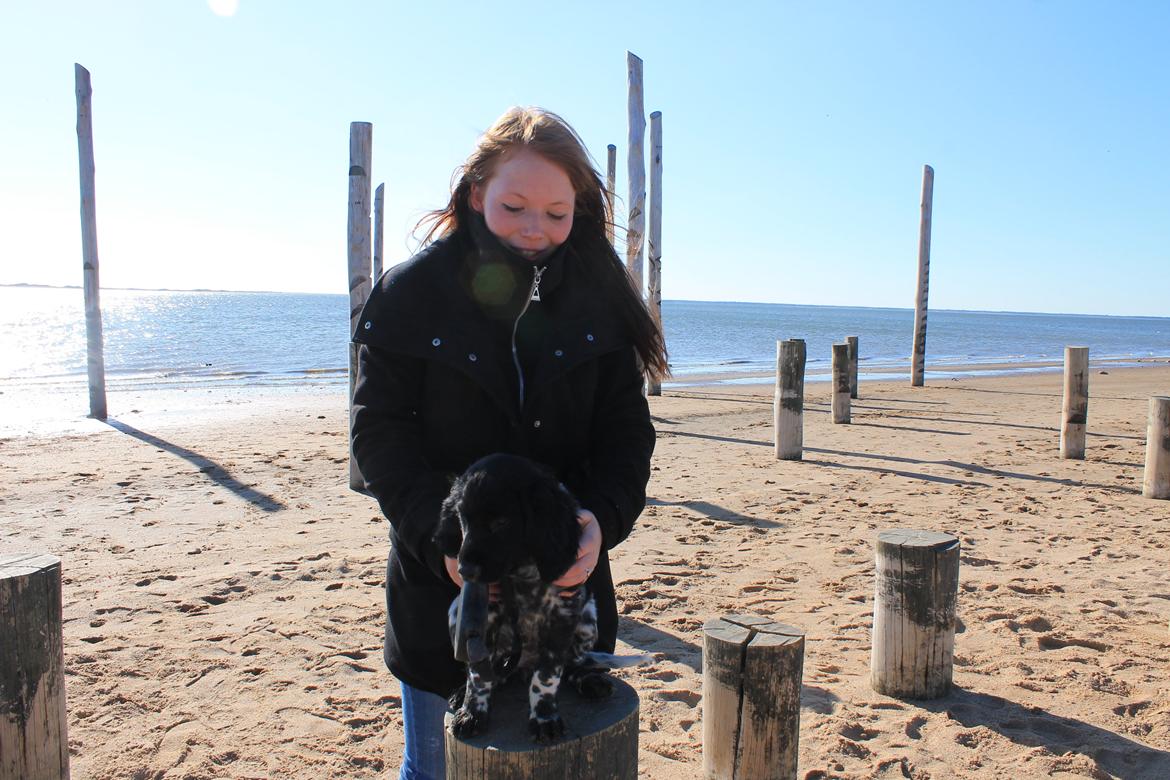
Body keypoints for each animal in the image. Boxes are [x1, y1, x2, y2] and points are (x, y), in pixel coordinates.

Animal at [432, 451, 613, 743]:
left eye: (501, 523)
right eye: (462, 518)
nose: (464, 571)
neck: (520, 573)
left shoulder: (562, 614)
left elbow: (547, 675)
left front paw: (544, 717)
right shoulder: (483, 618)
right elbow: (478, 674)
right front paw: (472, 712)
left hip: (588, 623)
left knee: (575, 662)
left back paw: (588, 679)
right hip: (455, 613)